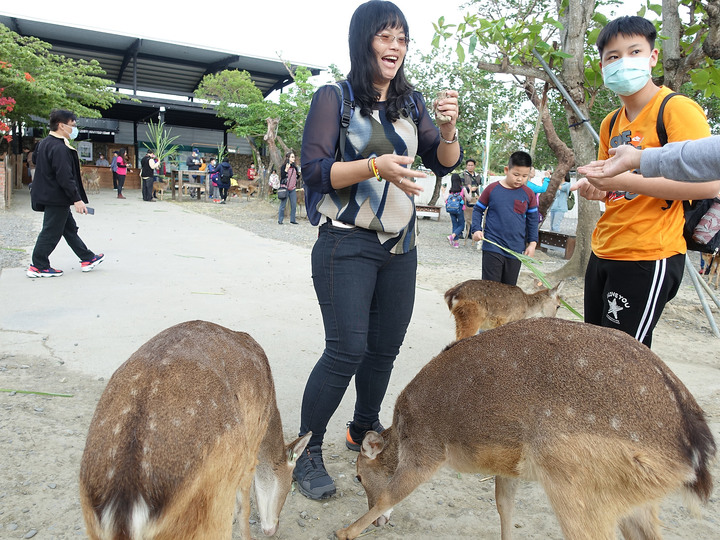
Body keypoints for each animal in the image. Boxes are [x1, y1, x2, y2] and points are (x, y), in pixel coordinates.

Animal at [79, 320, 310, 540]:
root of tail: (125, 502)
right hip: (212, 506)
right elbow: (244, 506)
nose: (273, 528)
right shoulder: (250, 450)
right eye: (290, 480)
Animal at [336, 316, 716, 540]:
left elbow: (391, 493)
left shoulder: (426, 449)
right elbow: (504, 506)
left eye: (358, 476)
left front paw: (344, 532)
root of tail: (695, 458)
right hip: (638, 499)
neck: (403, 431)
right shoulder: (508, 466)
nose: (382, 524)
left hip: (575, 478)